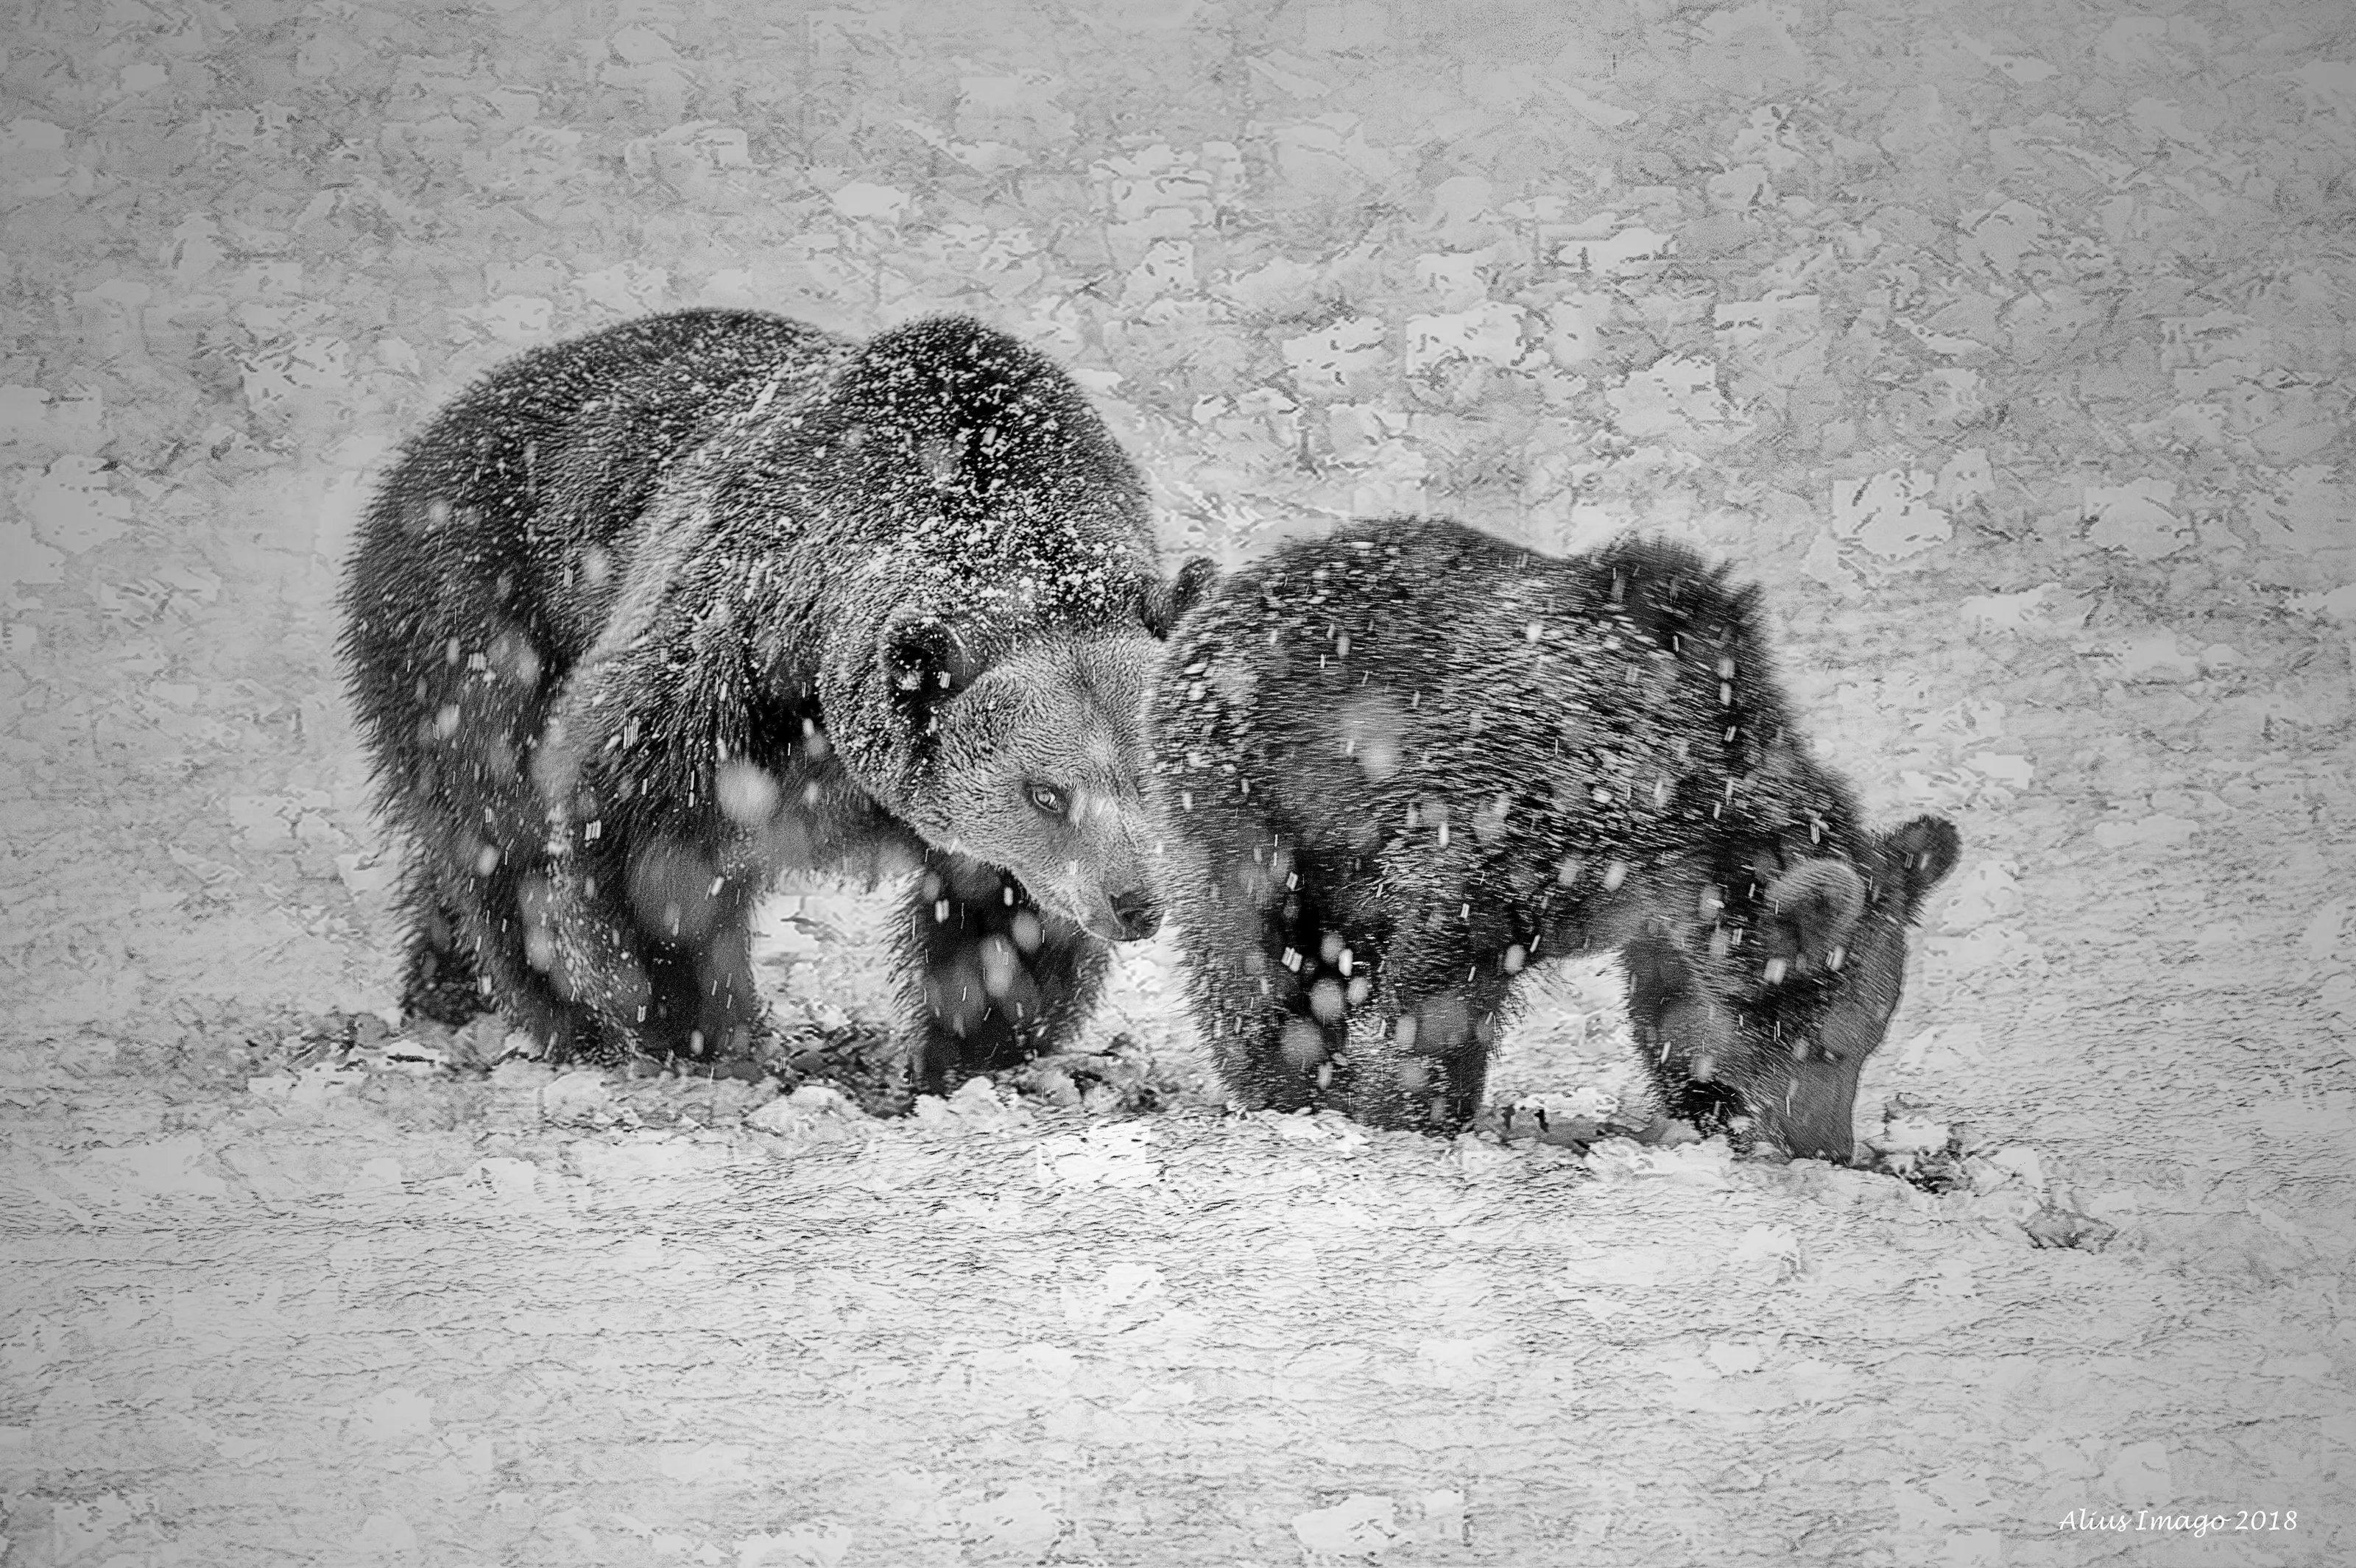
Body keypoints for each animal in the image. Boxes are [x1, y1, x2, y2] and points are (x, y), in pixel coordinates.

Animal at [340, 308, 1213, 1093]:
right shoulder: (727, 672)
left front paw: (972, 1049)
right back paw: (559, 1017)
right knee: (498, 833)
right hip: (481, 620)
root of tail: (452, 415)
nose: (1134, 903)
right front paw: (699, 1032)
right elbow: (654, 862)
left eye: (1146, 779)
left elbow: (1002, 922)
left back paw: (443, 992)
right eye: (1046, 792)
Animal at [1148, 516, 1959, 1163]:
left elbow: (1675, 1017)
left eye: (1868, 1039)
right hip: (1254, 794)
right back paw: (1284, 1083)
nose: (1828, 1146)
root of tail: (1217, 595)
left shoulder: (1661, 920)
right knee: (1253, 945)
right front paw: (1417, 1109)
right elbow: (1438, 998)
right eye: (1826, 1044)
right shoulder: (1495, 831)